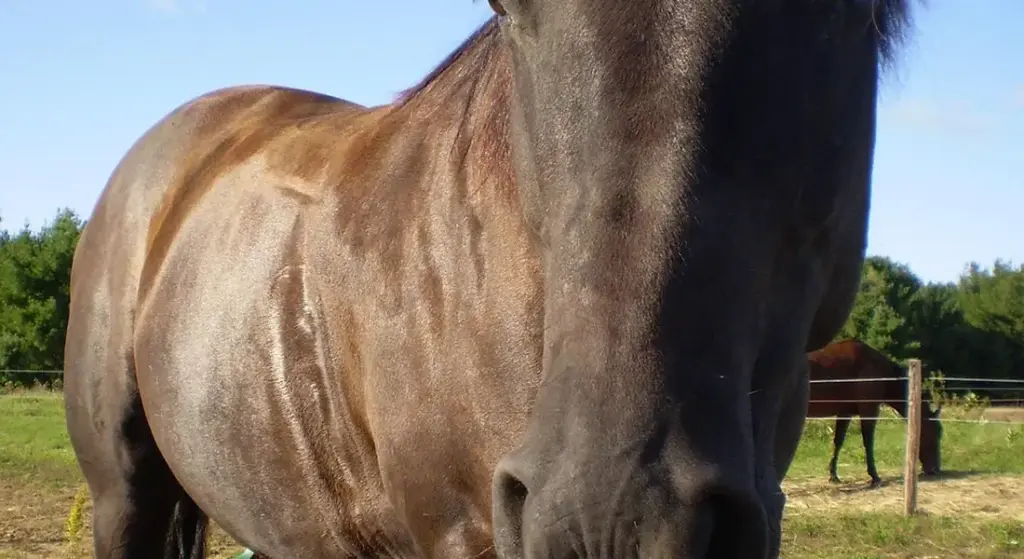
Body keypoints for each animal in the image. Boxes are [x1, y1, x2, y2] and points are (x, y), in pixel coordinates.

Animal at [807, 339, 943, 486]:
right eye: (933, 434)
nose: (935, 469)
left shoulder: (845, 412)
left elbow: (838, 441)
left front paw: (833, 475)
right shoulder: (869, 410)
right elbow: (868, 442)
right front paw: (874, 476)